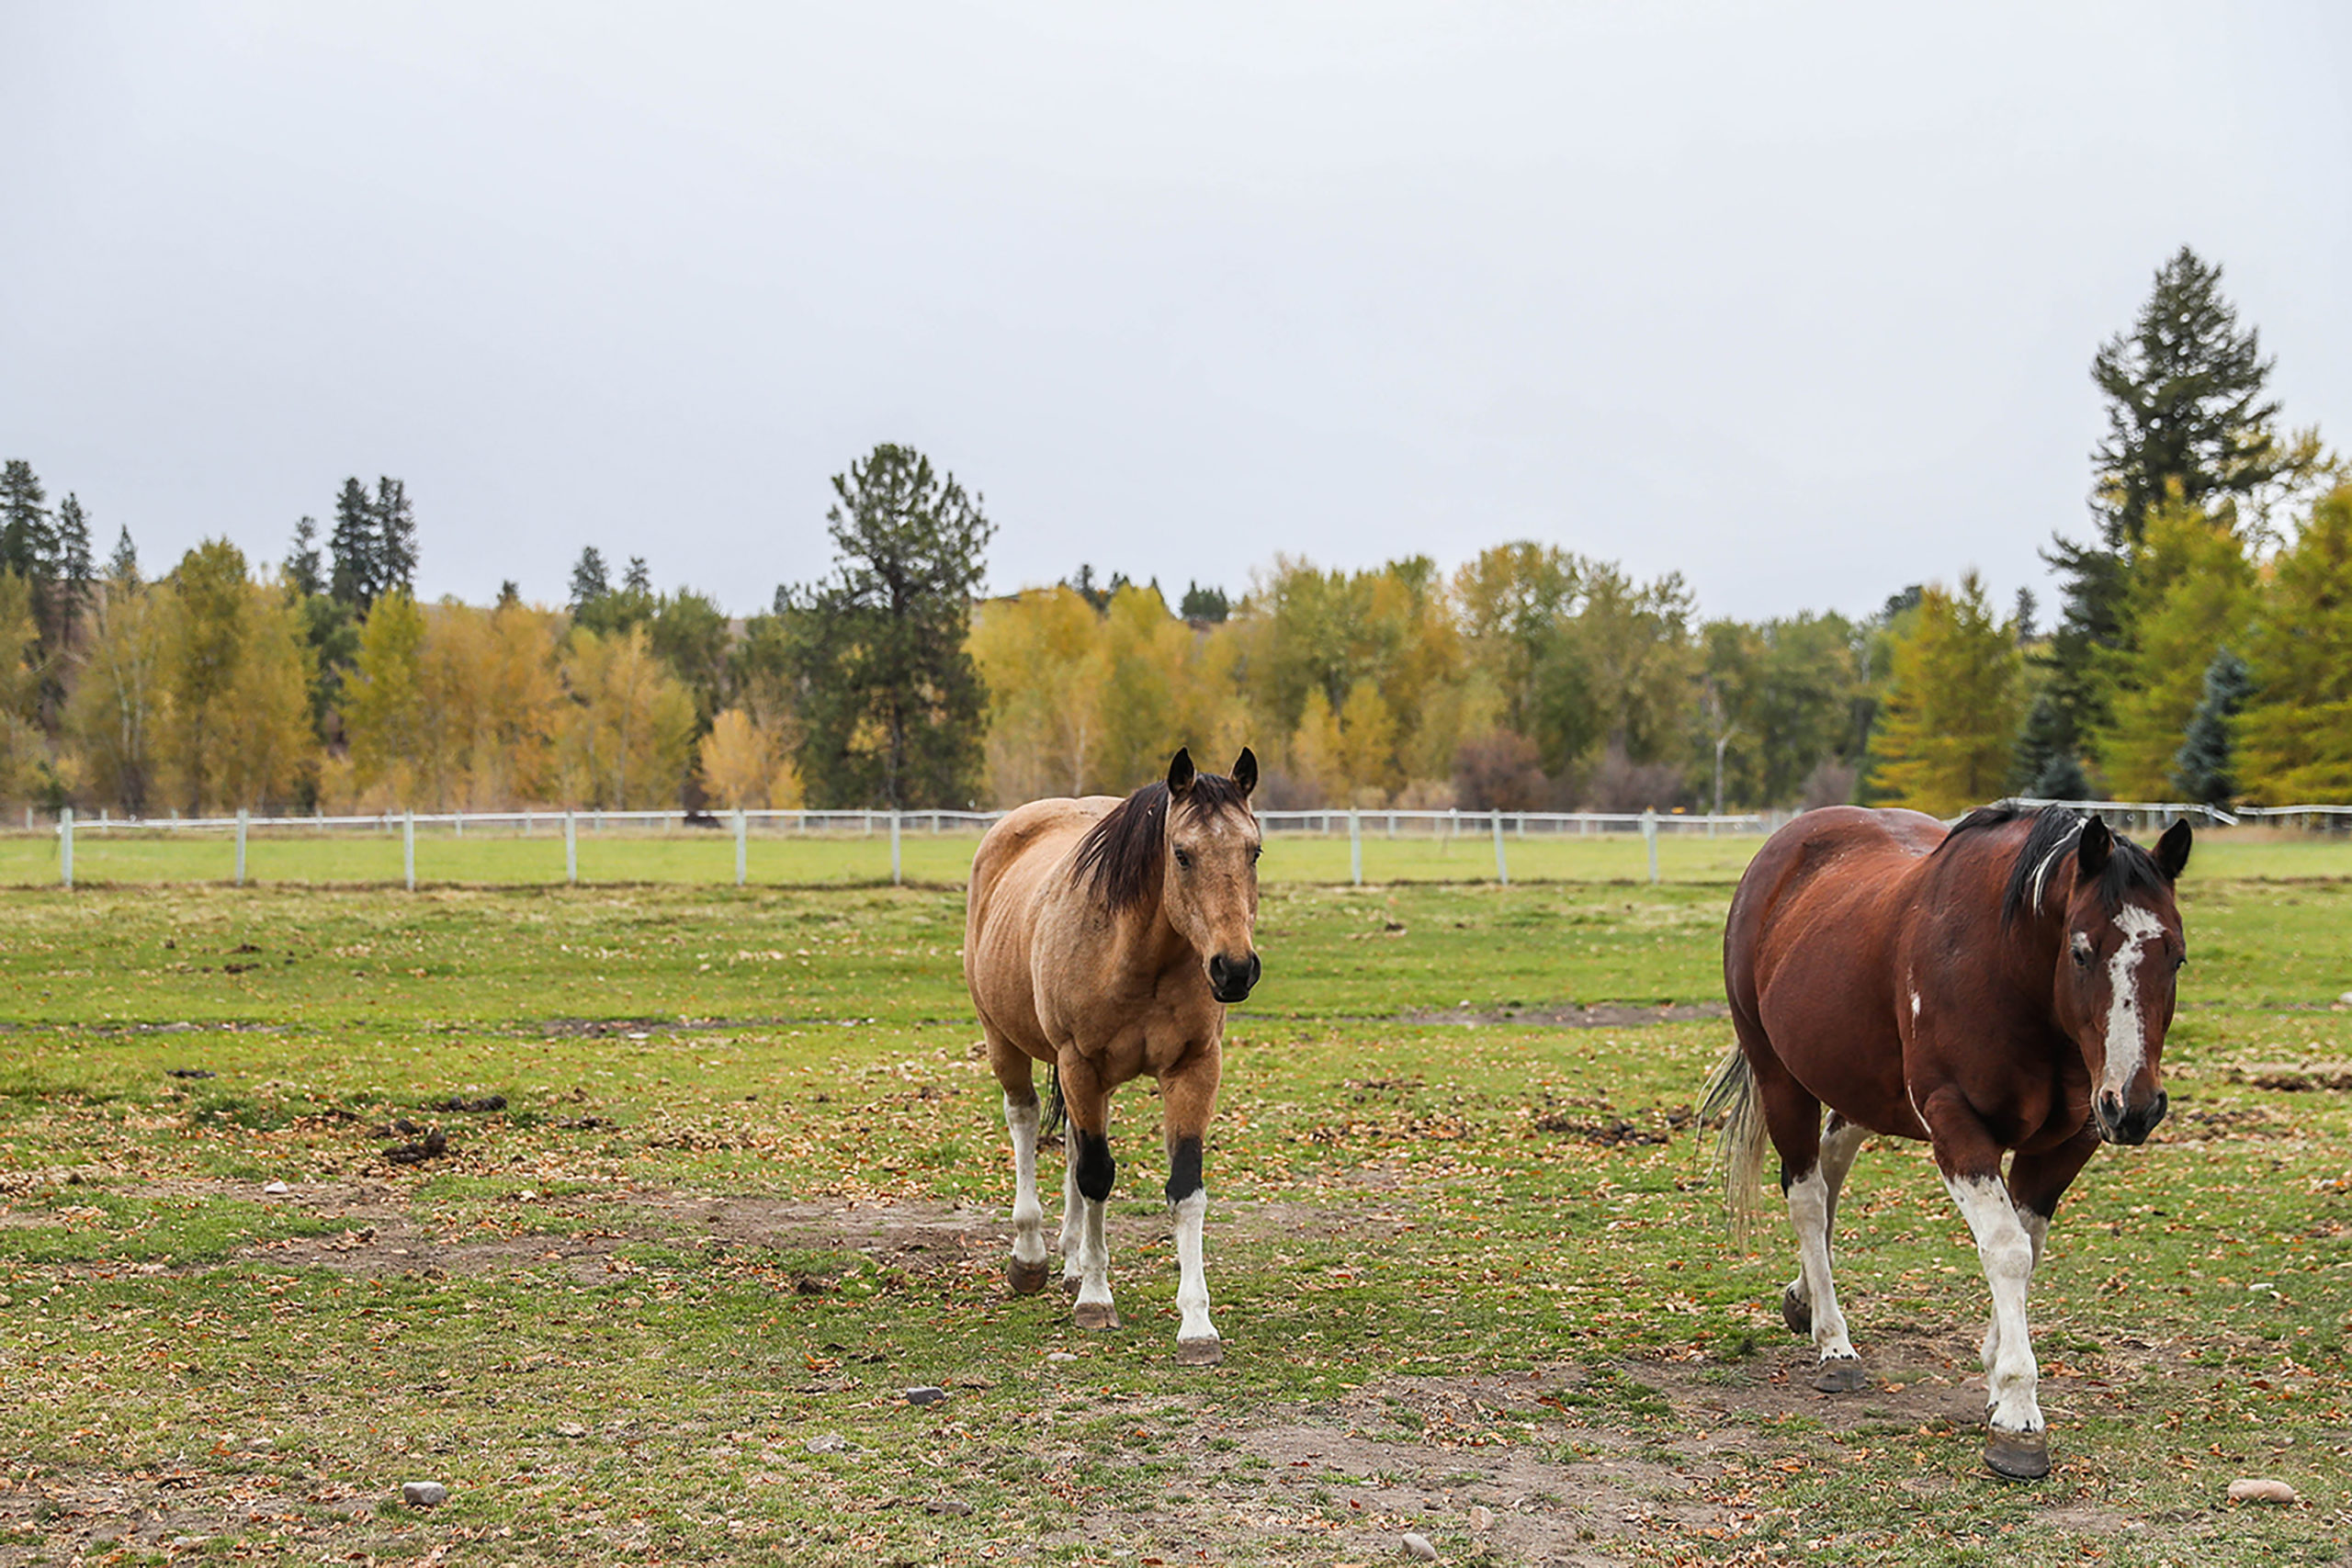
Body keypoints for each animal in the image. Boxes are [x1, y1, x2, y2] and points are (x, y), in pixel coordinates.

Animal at [959, 747, 1261, 1363]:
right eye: (1182, 854)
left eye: (1254, 851)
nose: (1234, 969)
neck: (1140, 956)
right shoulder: (1079, 1061)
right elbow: (1097, 1176)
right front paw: (1096, 1301)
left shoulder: (1195, 1068)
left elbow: (1185, 1190)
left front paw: (1197, 1325)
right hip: (1006, 1041)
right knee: (1026, 1119)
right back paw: (1032, 1256)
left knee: (1076, 1142)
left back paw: (1073, 1259)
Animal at [1712, 804, 2182, 1476]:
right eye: (2082, 950)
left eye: (2176, 957)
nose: (2135, 1107)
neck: (2011, 966)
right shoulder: (1957, 1123)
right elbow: (2008, 1249)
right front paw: (2018, 1412)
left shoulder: (2069, 1139)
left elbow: (2028, 1247)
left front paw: (1995, 1377)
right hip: (1781, 1076)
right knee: (1806, 1195)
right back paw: (1834, 1343)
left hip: (1860, 1080)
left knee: (1832, 1163)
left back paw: (1805, 1299)